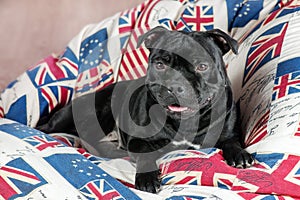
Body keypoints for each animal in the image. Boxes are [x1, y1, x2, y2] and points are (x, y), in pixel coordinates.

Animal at [37, 27, 253, 194]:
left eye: (202, 66)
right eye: (160, 64)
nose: (176, 86)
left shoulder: (229, 133)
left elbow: (232, 142)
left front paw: (240, 155)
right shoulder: (138, 141)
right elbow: (145, 156)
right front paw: (147, 178)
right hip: (90, 111)